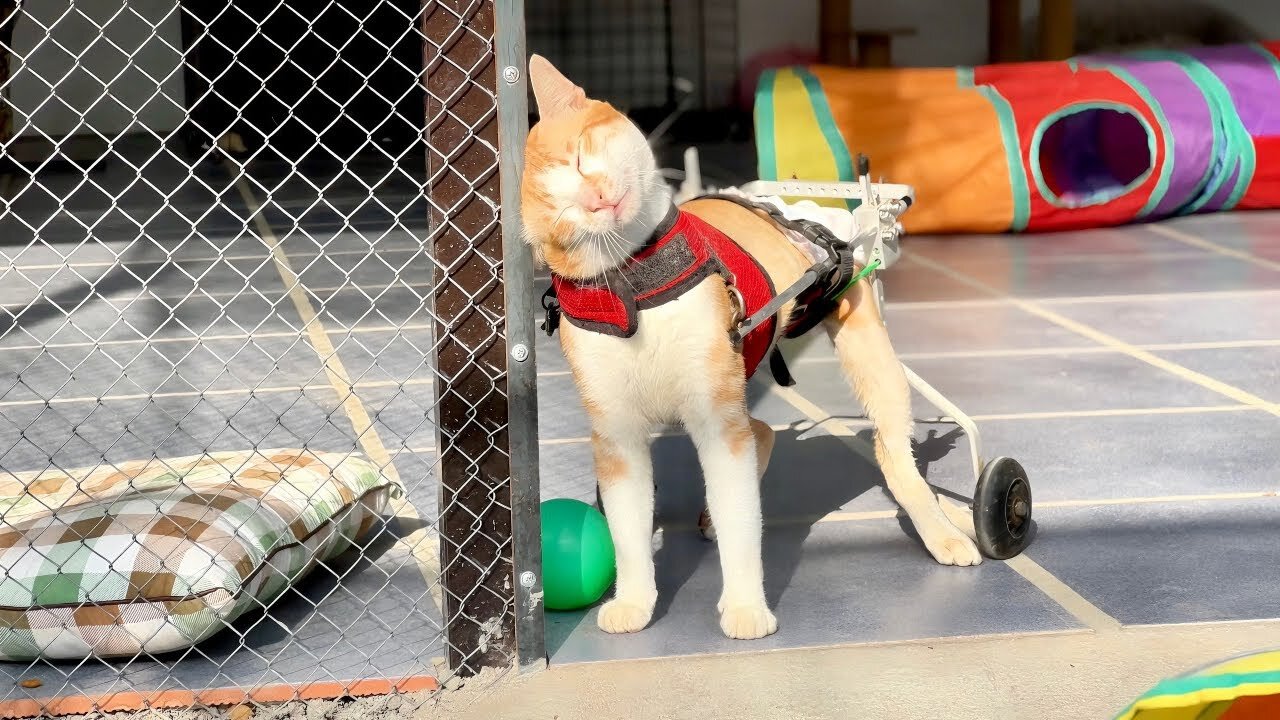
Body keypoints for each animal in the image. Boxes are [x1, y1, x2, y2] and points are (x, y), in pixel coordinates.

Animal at [519, 56, 977, 638]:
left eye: (580, 156)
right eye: (562, 215)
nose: (596, 198)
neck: (638, 285)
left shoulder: (718, 422)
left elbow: (742, 524)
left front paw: (745, 607)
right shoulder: (618, 437)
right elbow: (628, 530)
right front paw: (634, 600)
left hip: (867, 348)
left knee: (897, 457)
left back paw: (943, 527)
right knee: (762, 431)